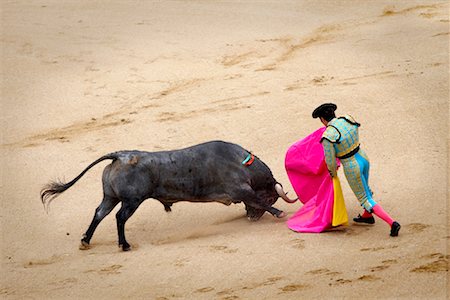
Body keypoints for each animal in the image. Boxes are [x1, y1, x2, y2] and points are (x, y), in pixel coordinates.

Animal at [41, 141, 296, 251]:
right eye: (272, 198)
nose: (251, 218)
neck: (241, 163)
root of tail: (120, 155)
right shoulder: (240, 189)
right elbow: (255, 198)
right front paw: (279, 213)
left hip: (110, 196)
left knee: (99, 213)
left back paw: (85, 240)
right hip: (132, 201)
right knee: (120, 217)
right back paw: (124, 245)